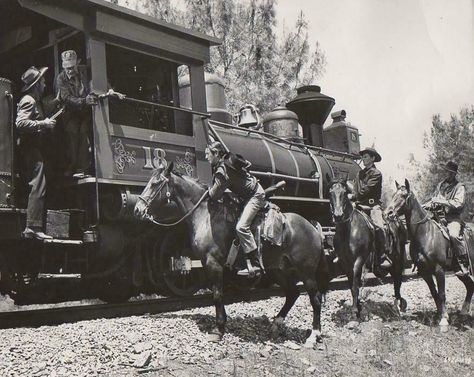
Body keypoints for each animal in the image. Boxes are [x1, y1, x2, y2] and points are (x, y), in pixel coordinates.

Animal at [134, 163, 330, 346]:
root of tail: (313, 228)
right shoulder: (210, 265)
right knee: (292, 293)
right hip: (279, 269)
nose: (137, 209)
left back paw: (313, 335)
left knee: (315, 299)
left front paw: (218, 329)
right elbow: (218, 293)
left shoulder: (213, 263)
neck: (206, 215)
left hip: (306, 272)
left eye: (155, 183)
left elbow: (217, 295)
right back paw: (276, 324)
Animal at [330, 180, 408, 320]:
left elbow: (355, 284)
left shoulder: (359, 260)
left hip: (398, 258)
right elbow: (351, 285)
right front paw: (357, 306)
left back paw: (399, 304)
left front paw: (355, 311)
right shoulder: (345, 263)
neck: (348, 230)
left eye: (344, 193)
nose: (338, 216)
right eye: (330, 192)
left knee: (397, 279)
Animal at [386, 179, 474, 328]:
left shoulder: (439, 270)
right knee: (470, 286)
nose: (388, 213)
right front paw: (440, 315)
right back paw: (463, 313)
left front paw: (444, 319)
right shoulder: (424, 272)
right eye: (393, 195)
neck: (426, 234)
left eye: (403, 196)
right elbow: (434, 293)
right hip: (459, 271)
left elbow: (442, 293)